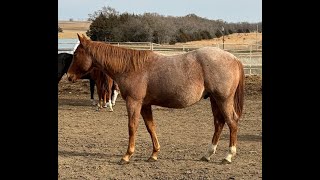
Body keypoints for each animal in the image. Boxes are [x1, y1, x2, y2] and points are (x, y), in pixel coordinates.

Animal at [66, 33, 244, 165]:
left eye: (76, 54)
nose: (69, 76)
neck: (130, 67)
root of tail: (234, 59)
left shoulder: (134, 102)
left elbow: (132, 127)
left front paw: (127, 155)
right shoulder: (145, 105)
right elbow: (151, 127)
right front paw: (154, 154)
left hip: (223, 100)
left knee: (232, 122)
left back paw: (228, 156)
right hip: (214, 100)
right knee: (219, 123)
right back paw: (208, 154)